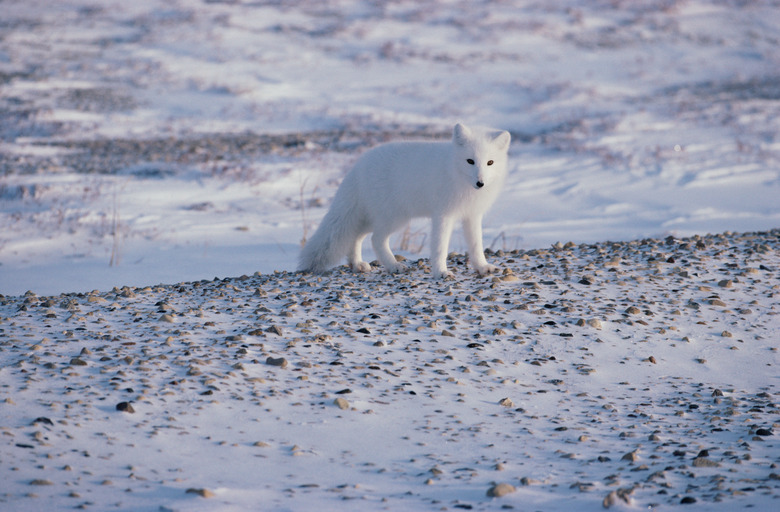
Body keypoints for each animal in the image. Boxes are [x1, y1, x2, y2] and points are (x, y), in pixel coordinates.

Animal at [298, 122, 512, 278]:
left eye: (490, 162)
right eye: (470, 161)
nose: (480, 183)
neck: (455, 173)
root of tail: (357, 167)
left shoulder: (472, 215)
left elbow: (476, 245)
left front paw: (482, 267)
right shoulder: (443, 215)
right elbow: (440, 246)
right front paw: (441, 272)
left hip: (372, 217)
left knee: (355, 237)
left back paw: (357, 264)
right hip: (394, 217)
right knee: (376, 239)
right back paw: (394, 266)